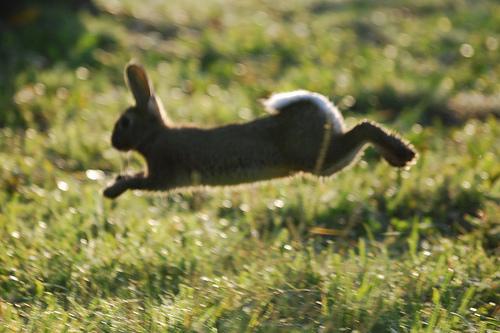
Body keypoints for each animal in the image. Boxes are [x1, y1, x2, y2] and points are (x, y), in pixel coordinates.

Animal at [102, 62, 418, 198]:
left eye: (125, 122)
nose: (114, 142)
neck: (155, 136)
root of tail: (320, 107)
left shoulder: (162, 175)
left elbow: (139, 182)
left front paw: (112, 190)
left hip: (318, 157)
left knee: (365, 128)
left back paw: (404, 153)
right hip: (328, 162)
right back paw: (398, 157)